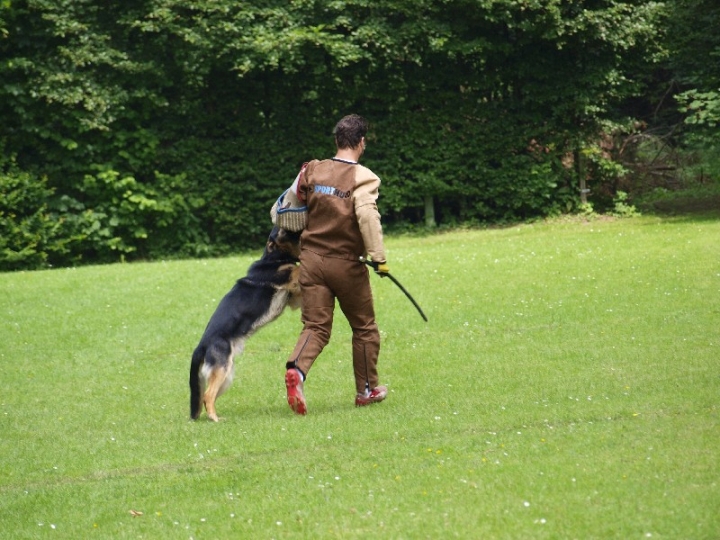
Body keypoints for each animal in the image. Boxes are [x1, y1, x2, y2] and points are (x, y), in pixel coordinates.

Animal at [188, 227, 300, 422]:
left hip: (226, 377)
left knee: (205, 397)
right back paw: (215, 419)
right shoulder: (287, 276)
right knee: (207, 396)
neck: (273, 259)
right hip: (222, 370)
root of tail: (201, 346)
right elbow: (297, 268)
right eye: (281, 230)